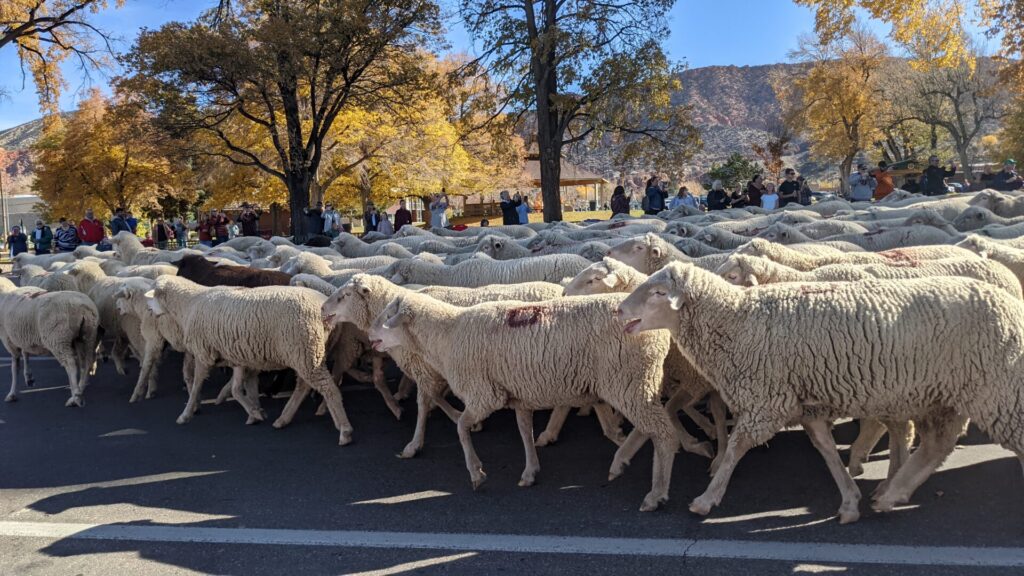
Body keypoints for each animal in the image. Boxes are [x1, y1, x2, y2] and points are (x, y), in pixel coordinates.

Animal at [0, 278, 99, 407]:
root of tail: (82, 308)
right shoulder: (23, 337)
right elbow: (25, 355)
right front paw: (29, 378)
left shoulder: (9, 340)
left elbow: (14, 367)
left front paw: (11, 394)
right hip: (86, 336)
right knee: (86, 363)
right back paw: (80, 389)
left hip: (58, 339)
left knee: (71, 365)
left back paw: (75, 397)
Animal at [148, 276, 354, 443]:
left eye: (153, 293)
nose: (149, 310)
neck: (190, 303)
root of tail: (324, 307)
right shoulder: (239, 356)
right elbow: (240, 388)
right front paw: (255, 412)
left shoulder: (203, 353)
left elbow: (198, 385)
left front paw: (186, 414)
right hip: (309, 352)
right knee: (303, 385)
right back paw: (283, 419)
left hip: (305, 350)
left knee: (327, 388)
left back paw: (344, 430)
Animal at [368, 291, 679, 512]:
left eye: (388, 314)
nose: (370, 336)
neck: (447, 334)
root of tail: (661, 332)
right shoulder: (519, 393)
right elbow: (524, 431)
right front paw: (530, 472)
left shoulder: (484, 395)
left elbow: (461, 428)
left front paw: (476, 473)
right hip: (637, 383)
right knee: (651, 428)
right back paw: (621, 462)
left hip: (628, 381)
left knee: (664, 434)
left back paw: (655, 495)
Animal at [616, 263, 1024, 522]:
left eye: (657, 292)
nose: (619, 311)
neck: (737, 322)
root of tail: (1010, 303)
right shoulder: (801, 402)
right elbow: (825, 449)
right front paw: (849, 502)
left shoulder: (767, 399)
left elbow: (736, 448)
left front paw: (705, 499)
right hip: (946, 394)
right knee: (935, 444)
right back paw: (891, 493)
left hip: (995, 390)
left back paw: (891, 490)